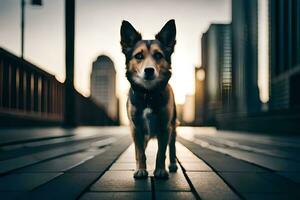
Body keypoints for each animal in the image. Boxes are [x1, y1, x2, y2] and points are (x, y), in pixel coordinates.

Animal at [120, 19, 178, 180]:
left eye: (158, 55)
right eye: (139, 56)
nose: (149, 70)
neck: (148, 94)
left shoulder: (165, 128)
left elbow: (161, 152)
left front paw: (160, 170)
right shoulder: (136, 128)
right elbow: (140, 152)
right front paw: (140, 170)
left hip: (173, 128)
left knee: (172, 146)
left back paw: (172, 164)